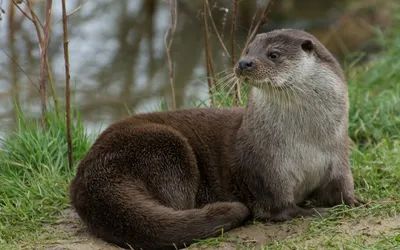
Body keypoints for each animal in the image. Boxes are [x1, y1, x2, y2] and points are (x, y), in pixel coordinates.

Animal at [70, 28, 364, 249]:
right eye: (247, 50)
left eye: (274, 54)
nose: (244, 63)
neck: (306, 141)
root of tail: (87, 178)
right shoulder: (267, 167)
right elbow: (279, 207)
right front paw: (311, 211)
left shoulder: (337, 155)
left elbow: (342, 186)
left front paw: (355, 201)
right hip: (164, 148)